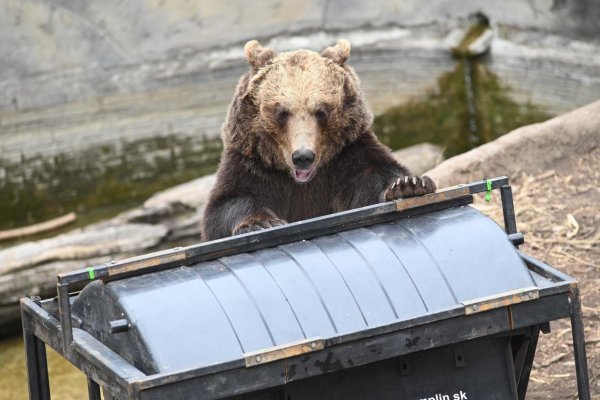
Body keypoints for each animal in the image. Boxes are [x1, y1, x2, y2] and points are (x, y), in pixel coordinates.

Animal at [202, 39, 436, 241]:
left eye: (320, 112)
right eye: (282, 113)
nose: (303, 156)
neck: (302, 181)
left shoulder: (348, 154)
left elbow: (376, 174)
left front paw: (409, 185)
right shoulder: (252, 162)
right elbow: (228, 203)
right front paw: (260, 222)